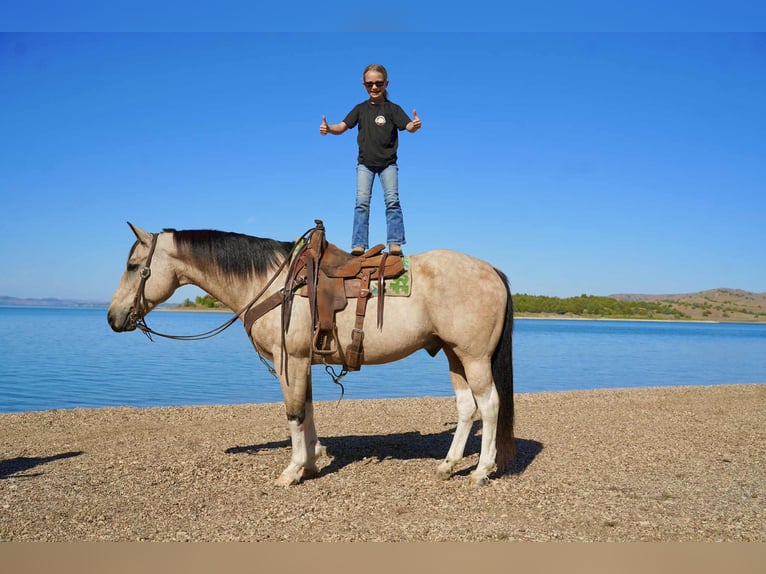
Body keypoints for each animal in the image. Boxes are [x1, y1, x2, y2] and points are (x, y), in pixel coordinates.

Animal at [107, 222, 515, 486]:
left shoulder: (291, 360)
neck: (269, 282)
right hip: (453, 355)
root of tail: (491, 270)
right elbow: (307, 409)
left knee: (490, 405)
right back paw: (449, 464)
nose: (112, 317)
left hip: (474, 357)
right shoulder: (303, 361)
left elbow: (293, 413)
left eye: (132, 266)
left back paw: (481, 470)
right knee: (467, 408)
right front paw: (314, 461)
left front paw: (293, 470)